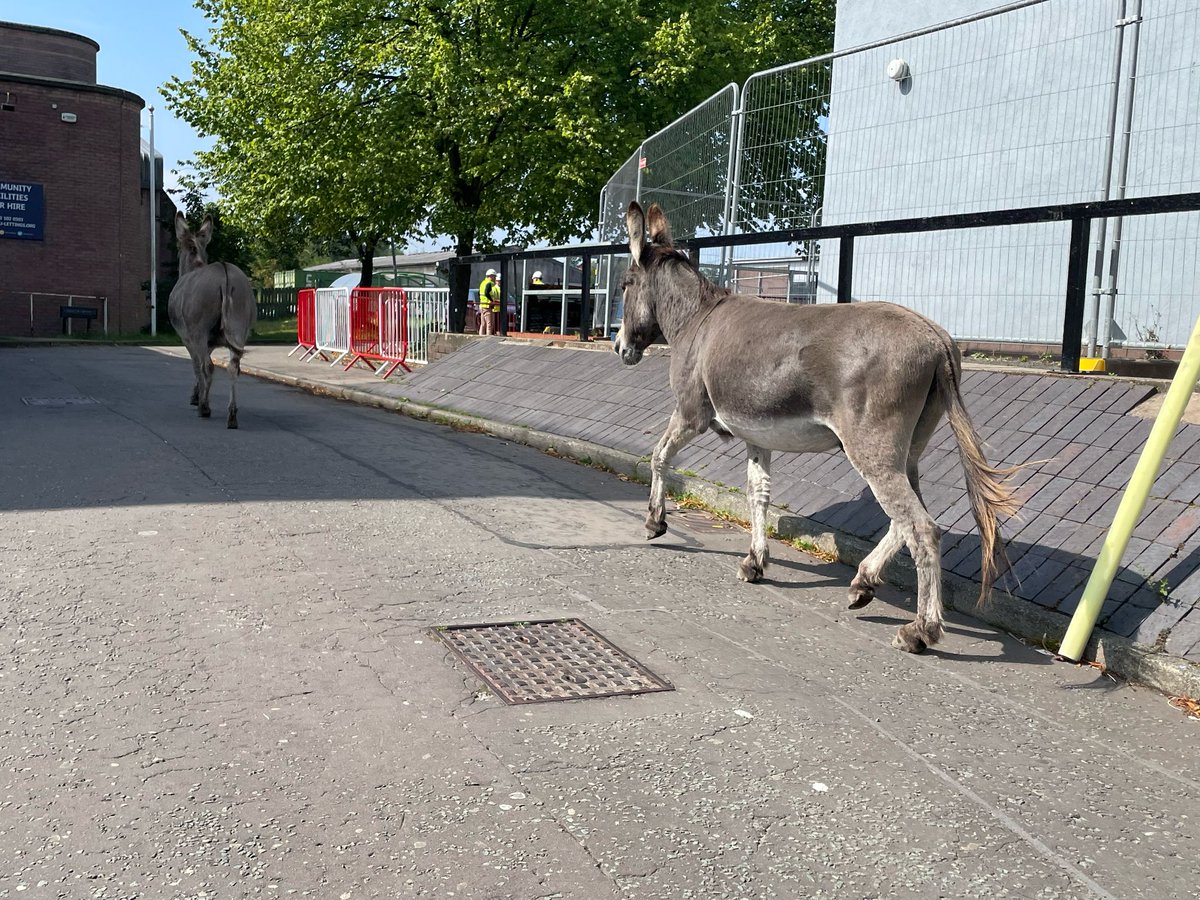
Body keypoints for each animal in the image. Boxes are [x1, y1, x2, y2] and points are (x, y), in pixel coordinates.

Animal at [167, 212, 256, 429]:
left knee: (207, 366)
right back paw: (232, 415)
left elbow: (197, 366)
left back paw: (205, 408)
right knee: (233, 367)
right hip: (240, 324)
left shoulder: (189, 338)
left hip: (199, 327)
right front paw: (196, 394)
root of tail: (225, 276)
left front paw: (198, 398)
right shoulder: (210, 341)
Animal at [614, 201, 1020, 653]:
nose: (618, 347)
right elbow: (759, 495)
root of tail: (937, 338)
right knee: (905, 518)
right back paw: (863, 583)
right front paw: (755, 562)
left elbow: (659, 456)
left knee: (923, 527)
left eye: (625, 284)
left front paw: (655, 522)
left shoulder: (690, 413)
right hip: (906, 451)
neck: (695, 319)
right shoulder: (757, 436)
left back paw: (921, 630)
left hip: (870, 448)